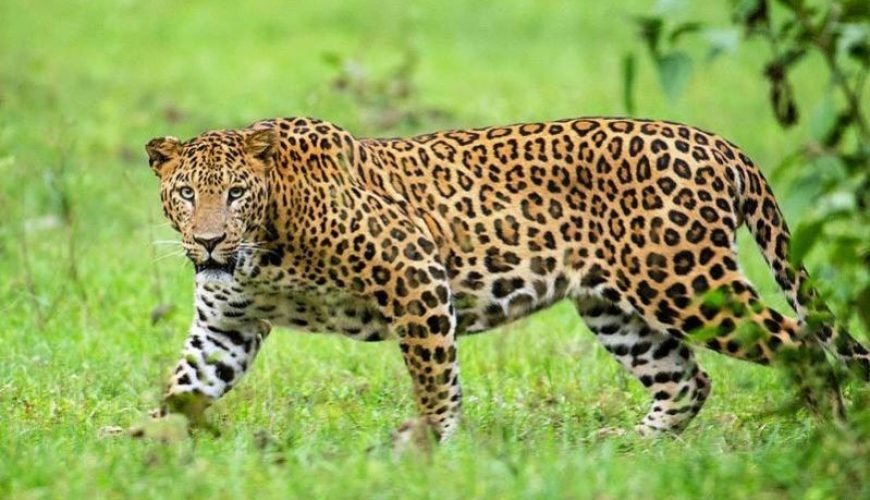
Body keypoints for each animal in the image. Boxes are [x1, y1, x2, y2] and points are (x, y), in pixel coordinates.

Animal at [145, 116, 869, 441]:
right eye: (185, 193)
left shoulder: (414, 272)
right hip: (615, 307)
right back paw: (632, 448)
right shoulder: (226, 325)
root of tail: (719, 144)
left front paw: (429, 446)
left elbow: (434, 377)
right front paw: (142, 447)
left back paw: (834, 439)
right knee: (687, 378)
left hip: (685, 281)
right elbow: (185, 386)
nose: (208, 241)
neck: (263, 248)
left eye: (236, 193)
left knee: (802, 345)